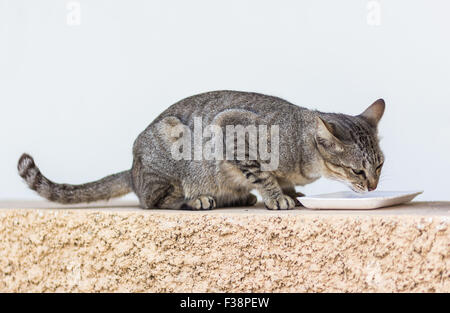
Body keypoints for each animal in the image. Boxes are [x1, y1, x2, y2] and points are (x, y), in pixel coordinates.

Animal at [16, 90, 384, 210]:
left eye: (379, 165)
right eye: (357, 170)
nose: (373, 186)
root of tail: (132, 170)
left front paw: (289, 191)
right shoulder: (231, 128)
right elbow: (263, 176)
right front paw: (278, 196)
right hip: (172, 145)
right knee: (152, 200)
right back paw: (196, 199)